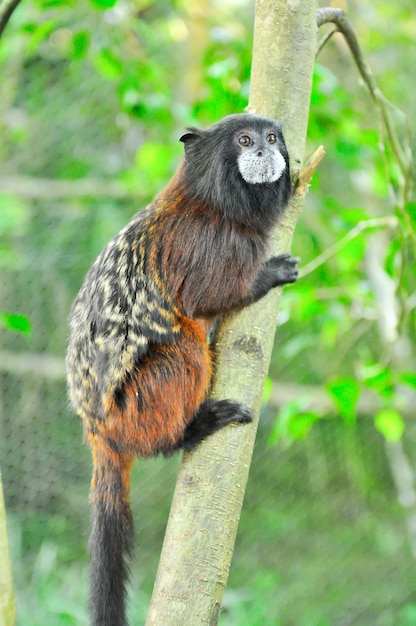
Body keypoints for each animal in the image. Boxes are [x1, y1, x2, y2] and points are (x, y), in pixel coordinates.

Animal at [65, 113, 300, 624]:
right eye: (244, 141)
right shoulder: (205, 242)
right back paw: (191, 428)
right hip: (133, 409)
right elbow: (206, 297)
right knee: (184, 349)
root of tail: (96, 428)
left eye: (273, 138)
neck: (211, 205)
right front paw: (267, 276)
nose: (264, 152)